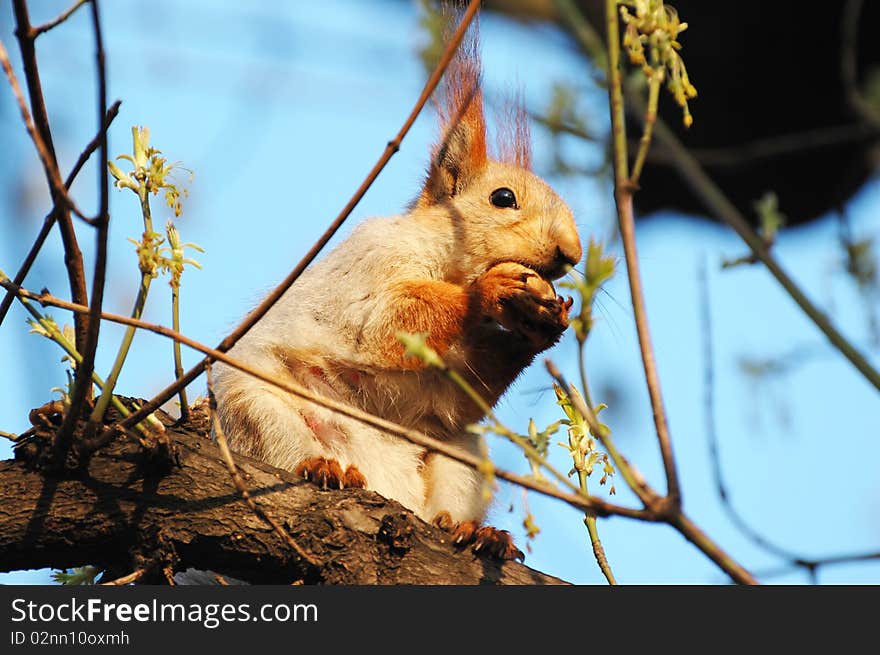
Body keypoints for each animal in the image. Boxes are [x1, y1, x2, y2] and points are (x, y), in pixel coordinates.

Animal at [215, 10, 584, 560]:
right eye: (502, 198)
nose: (571, 253)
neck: (450, 266)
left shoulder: (455, 383)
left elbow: (467, 392)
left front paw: (543, 326)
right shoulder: (372, 264)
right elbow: (388, 322)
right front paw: (489, 291)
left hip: (462, 456)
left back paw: (475, 531)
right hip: (256, 410)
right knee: (282, 437)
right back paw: (323, 468)